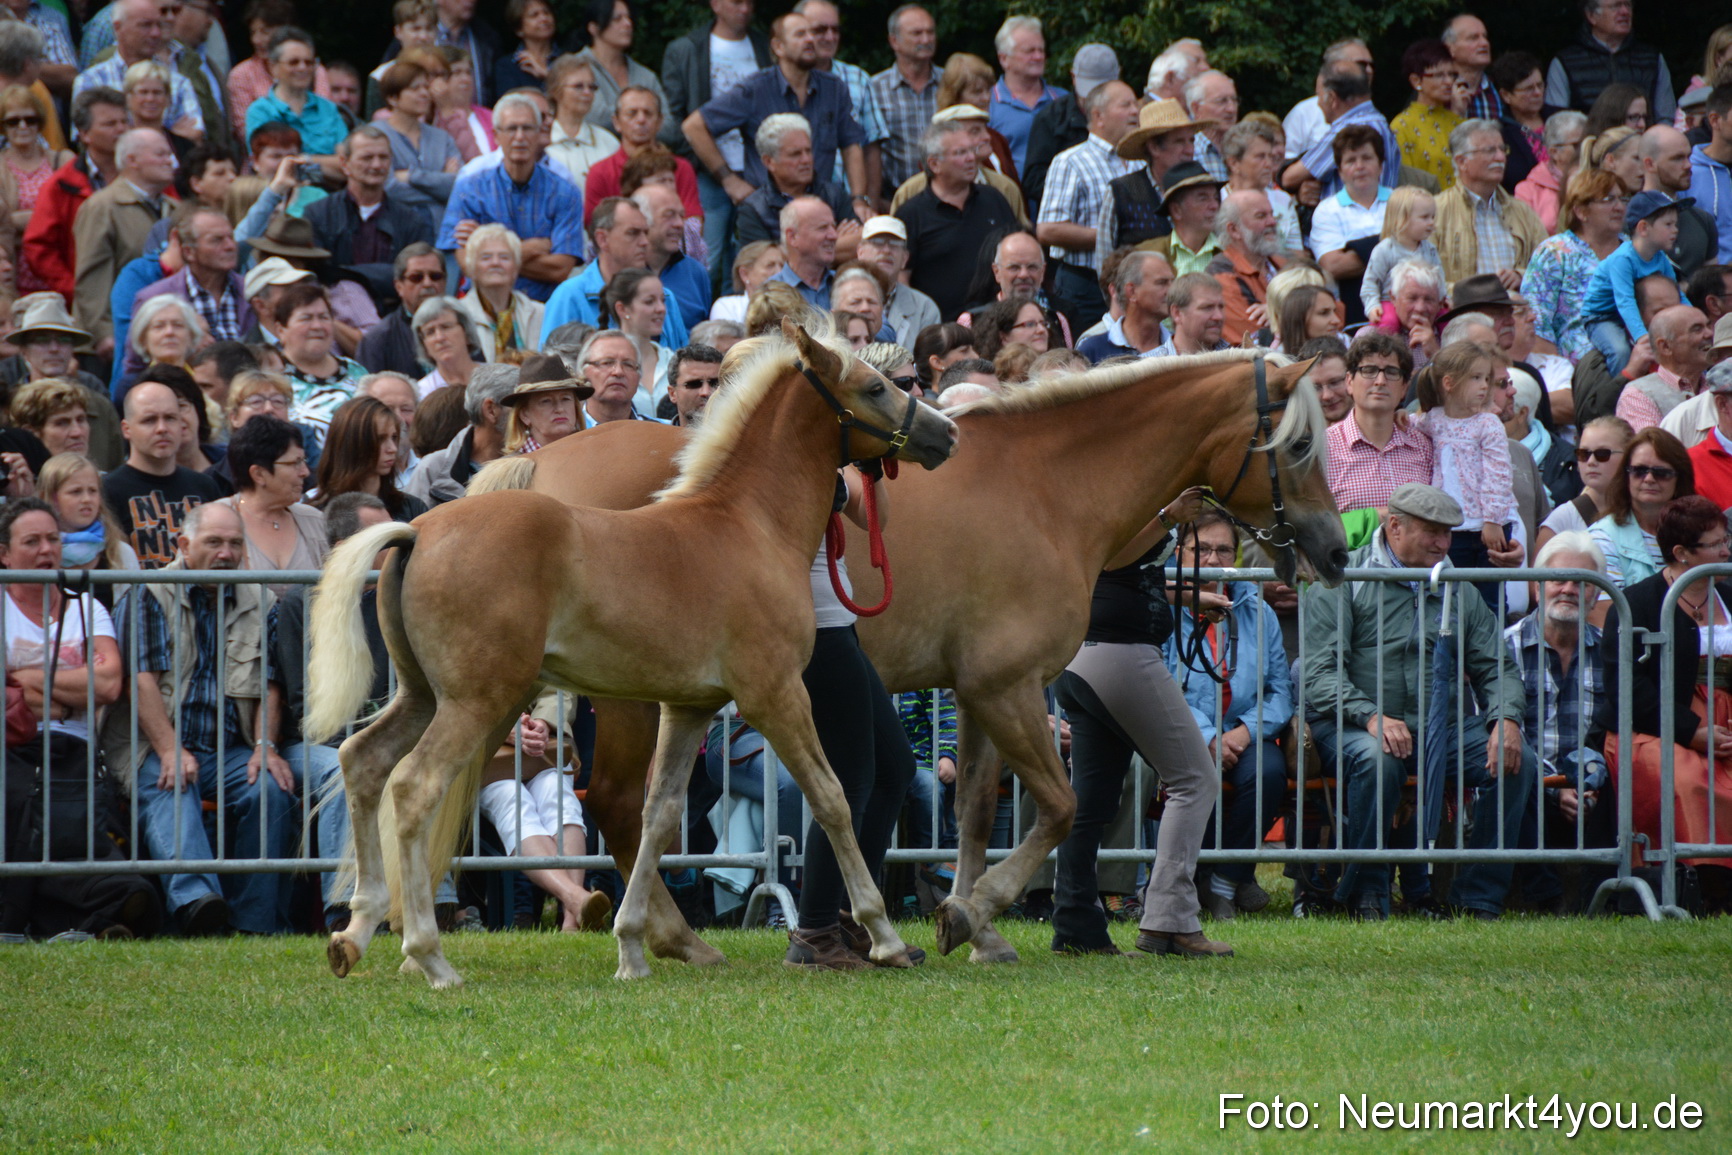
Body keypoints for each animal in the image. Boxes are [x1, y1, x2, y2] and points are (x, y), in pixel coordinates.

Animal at [303, 322, 959, 988]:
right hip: (479, 701)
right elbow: (832, 798)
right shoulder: (775, 694)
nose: (946, 434)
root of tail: (416, 530)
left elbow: (660, 814)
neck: (748, 526)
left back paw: (355, 932)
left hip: (426, 695)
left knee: (365, 761)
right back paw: (429, 954)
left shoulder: (688, 707)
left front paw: (633, 947)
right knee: (415, 785)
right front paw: (883, 936)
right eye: (875, 387)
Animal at [481, 349, 1349, 964]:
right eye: (1302, 442)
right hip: (633, 693)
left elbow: (975, 811)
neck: (1048, 487)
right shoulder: (1008, 688)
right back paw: (668, 934)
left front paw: (981, 929)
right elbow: (1059, 805)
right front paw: (971, 910)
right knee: (620, 801)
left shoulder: (978, 691)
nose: (1335, 551)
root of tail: (547, 462)